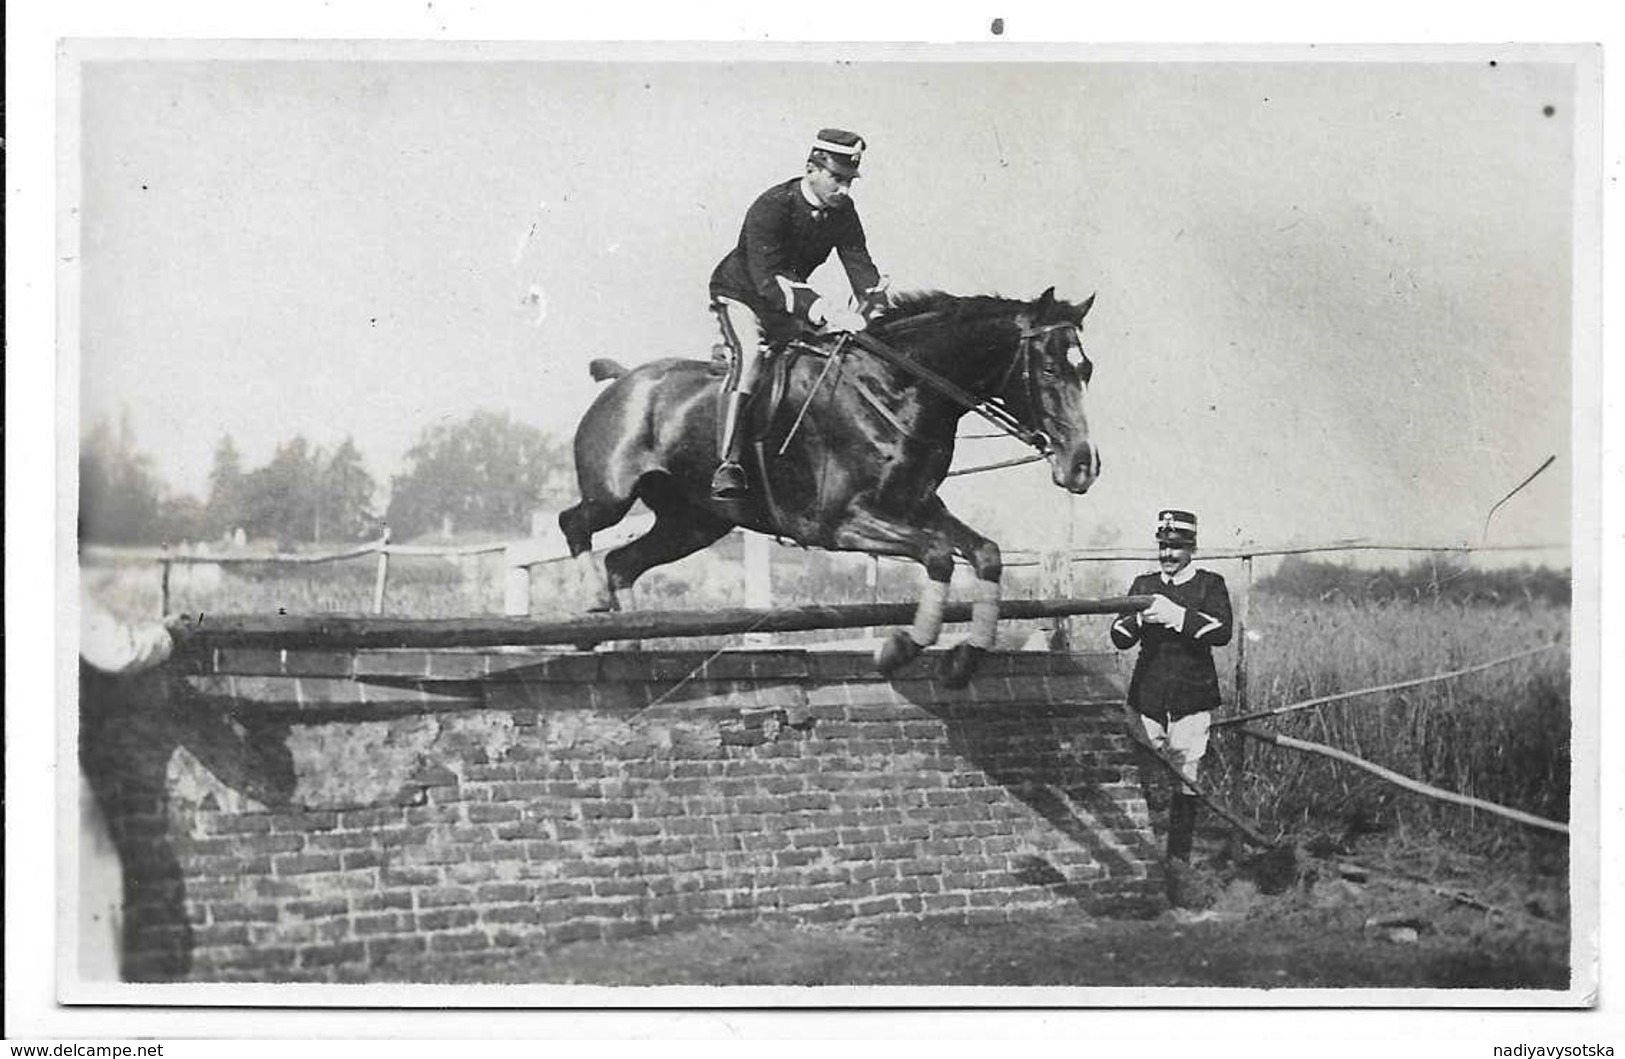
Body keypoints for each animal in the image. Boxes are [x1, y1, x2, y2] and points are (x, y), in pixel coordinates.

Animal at [559, 287, 1105, 685]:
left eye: (1088, 369)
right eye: (1049, 368)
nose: (1083, 466)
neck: (898, 390)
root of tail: (625, 379)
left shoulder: (918, 508)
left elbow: (985, 554)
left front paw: (964, 659)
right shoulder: (844, 523)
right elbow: (937, 556)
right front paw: (898, 648)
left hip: (693, 522)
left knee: (624, 562)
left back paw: (626, 642)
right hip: (614, 494)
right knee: (576, 523)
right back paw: (593, 607)